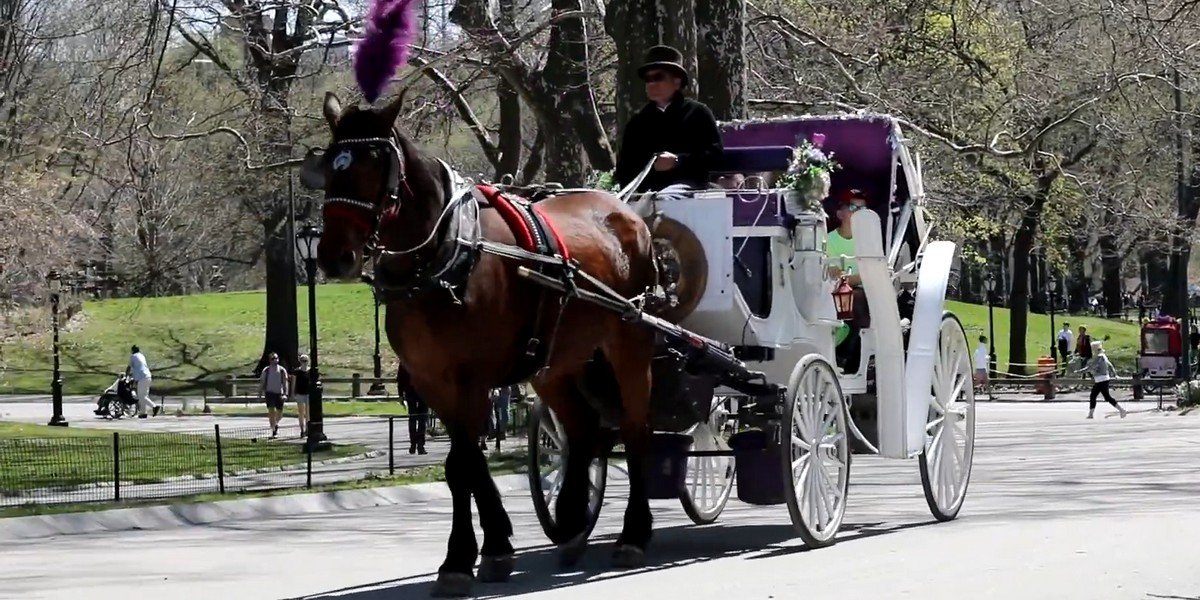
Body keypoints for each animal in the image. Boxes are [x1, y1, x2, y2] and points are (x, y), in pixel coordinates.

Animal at [298, 91, 657, 597]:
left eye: (375, 164)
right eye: (331, 165)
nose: (333, 257)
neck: (446, 257)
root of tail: (624, 209)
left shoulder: (473, 378)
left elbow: (466, 461)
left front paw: (472, 552)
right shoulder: (433, 381)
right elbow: (463, 465)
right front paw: (482, 550)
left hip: (629, 341)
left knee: (635, 427)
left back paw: (633, 533)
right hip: (554, 363)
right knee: (583, 429)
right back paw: (570, 521)